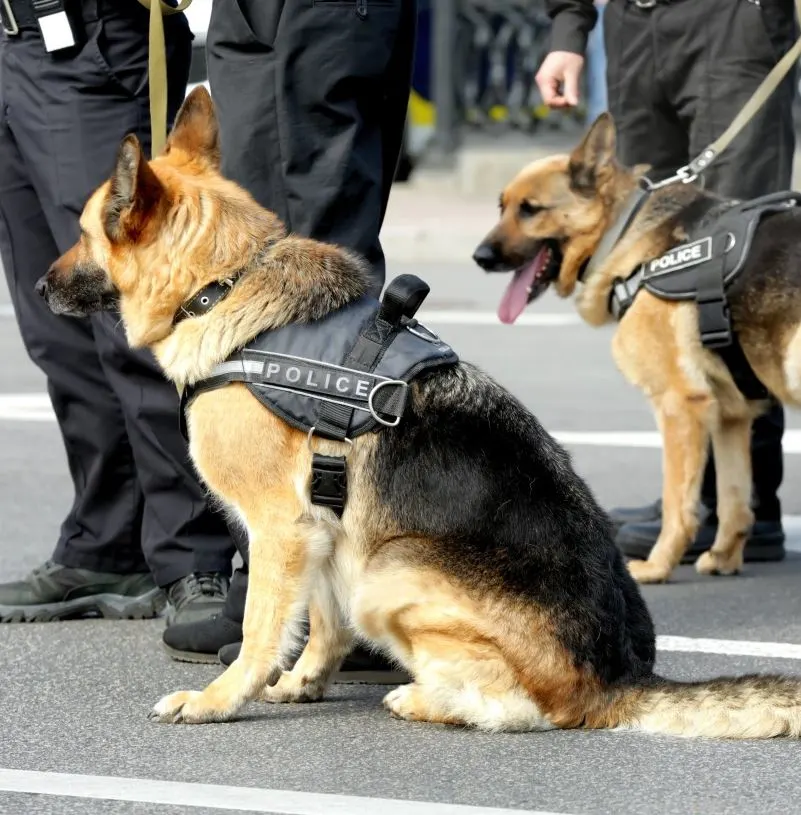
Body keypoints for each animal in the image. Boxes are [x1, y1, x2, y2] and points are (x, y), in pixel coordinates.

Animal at [472, 113, 800, 588]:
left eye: (530, 210)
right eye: (502, 207)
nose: (479, 257)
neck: (624, 231)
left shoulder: (680, 406)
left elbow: (679, 503)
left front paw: (658, 565)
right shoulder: (731, 416)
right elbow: (734, 498)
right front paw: (724, 557)